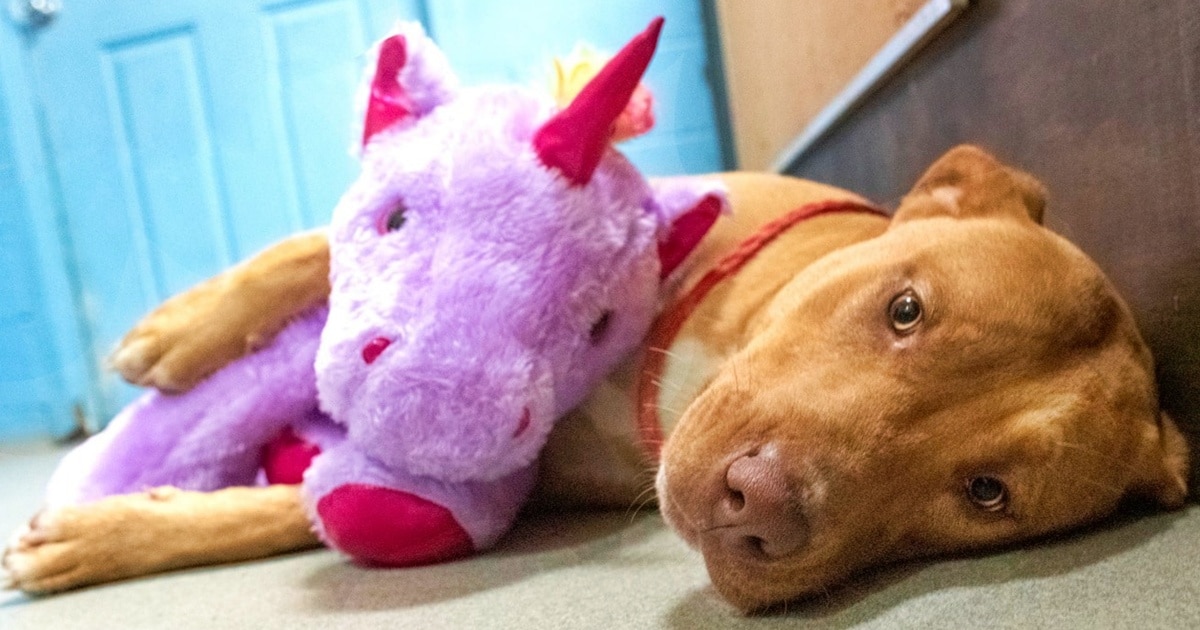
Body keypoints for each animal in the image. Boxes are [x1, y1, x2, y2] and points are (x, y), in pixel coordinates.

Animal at [0, 146, 1185, 609]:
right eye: (906, 310)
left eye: (985, 494)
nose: (752, 507)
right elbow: (323, 247)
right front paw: (182, 330)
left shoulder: (507, 482)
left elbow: (303, 507)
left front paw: (109, 536)